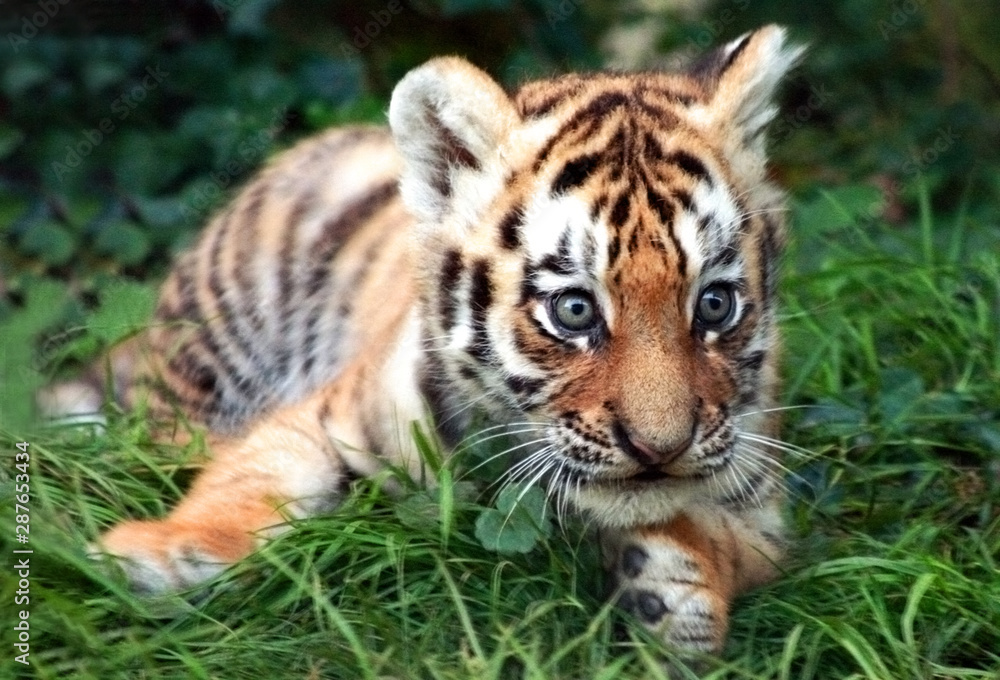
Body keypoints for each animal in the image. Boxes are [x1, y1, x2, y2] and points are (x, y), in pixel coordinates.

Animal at [50, 25, 804, 656]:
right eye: (575, 311)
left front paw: (673, 586)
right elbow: (247, 479)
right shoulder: (327, 416)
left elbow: (744, 549)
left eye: (715, 304)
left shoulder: (763, 498)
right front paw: (159, 554)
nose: (659, 449)